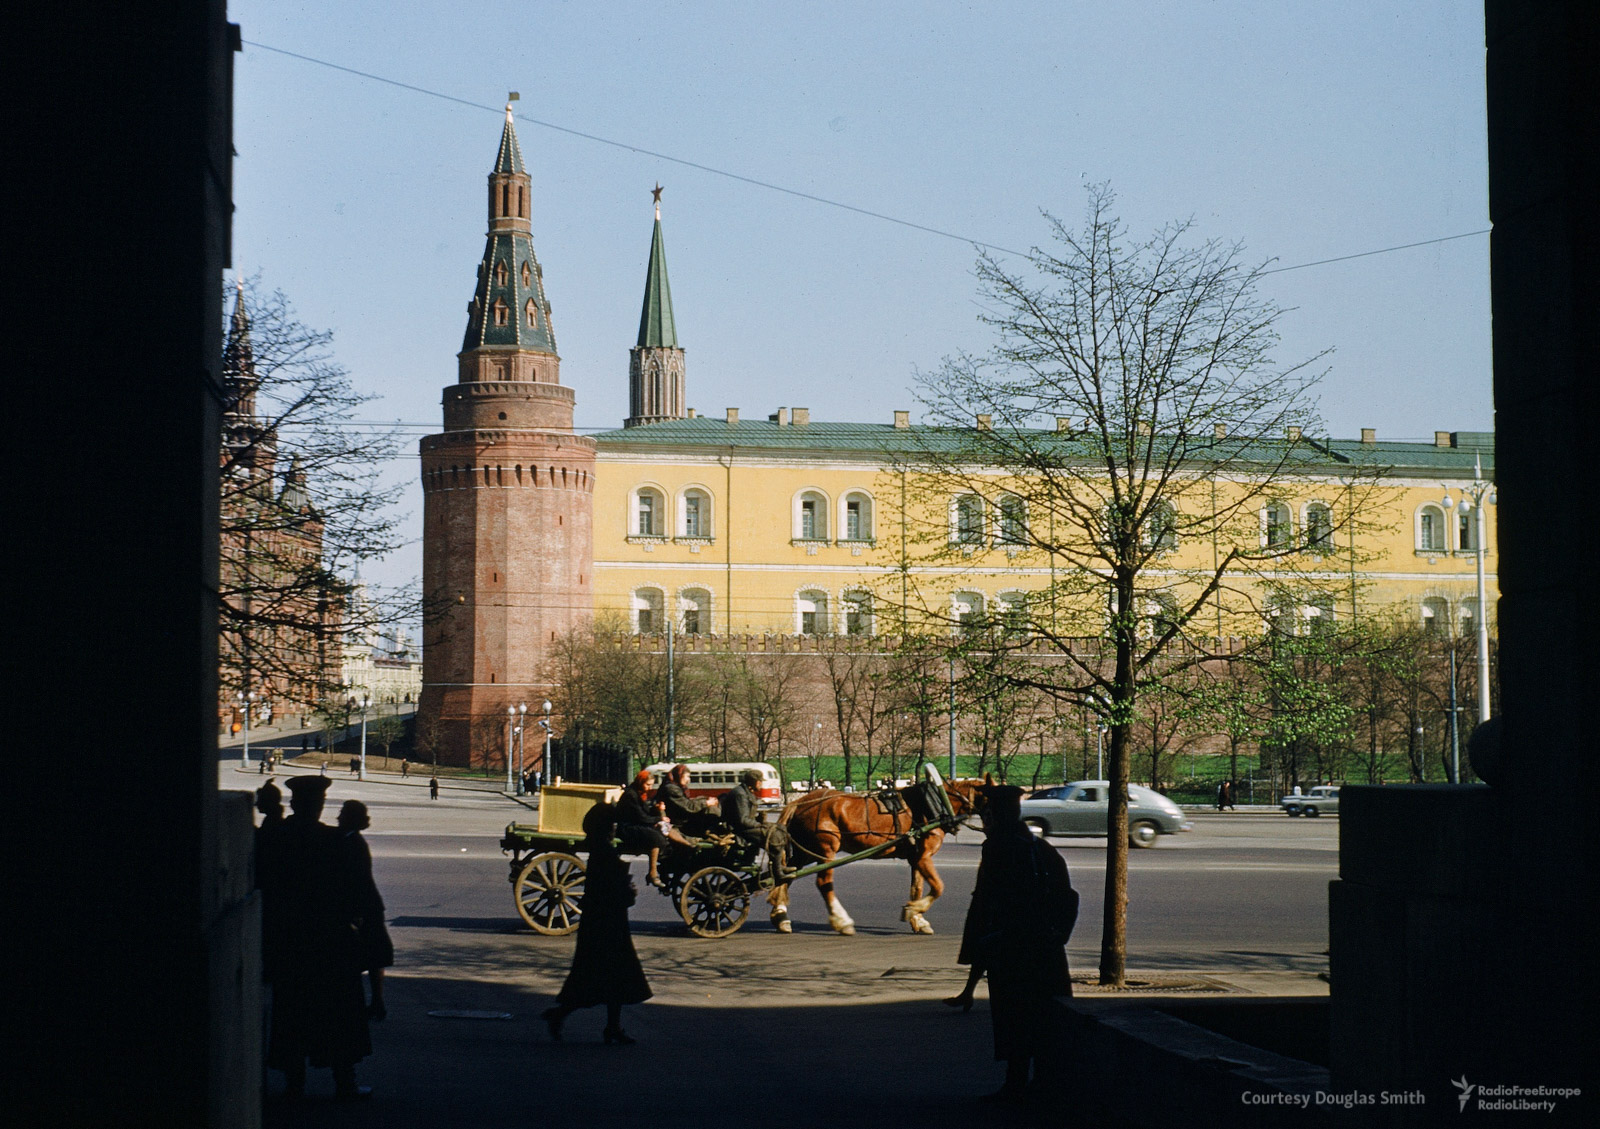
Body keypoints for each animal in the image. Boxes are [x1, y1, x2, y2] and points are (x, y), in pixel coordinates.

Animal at [764, 773, 979, 933]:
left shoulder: (917, 858)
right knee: (823, 882)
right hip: (825, 849)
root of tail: (798, 803)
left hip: (807, 851)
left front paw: (916, 917)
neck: (934, 804)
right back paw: (842, 921)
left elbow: (917, 888)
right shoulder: (923, 857)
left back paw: (780, 917)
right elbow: (938, 887)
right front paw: (914, 911)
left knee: (786, 874)